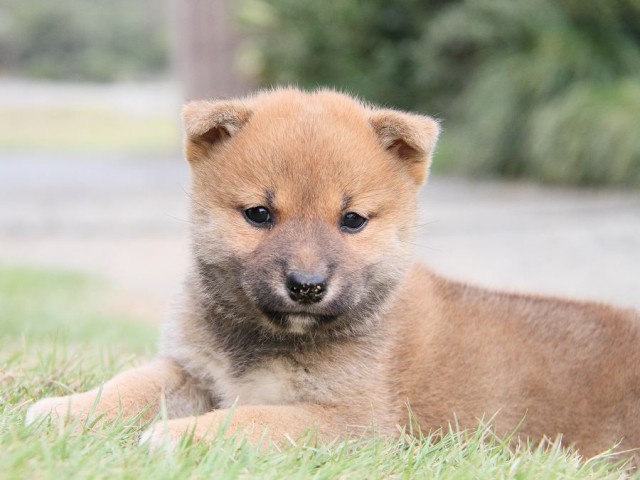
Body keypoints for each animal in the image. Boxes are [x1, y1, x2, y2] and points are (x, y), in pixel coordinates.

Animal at [27, 88, 640, 460]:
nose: (306, 286)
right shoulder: (190, 370)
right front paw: (66, 409)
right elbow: (127, 385)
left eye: (352, 220)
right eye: (259, 214)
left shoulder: (349, 422)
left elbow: (252, 421)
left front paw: (179, 436)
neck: (264, 343)